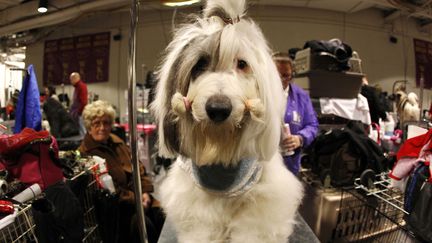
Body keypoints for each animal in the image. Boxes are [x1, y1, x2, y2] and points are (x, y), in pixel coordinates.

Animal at [152, 0, 304, 242]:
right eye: (200, 64)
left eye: (242, 63)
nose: (218, 109)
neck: (221, 147)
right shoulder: (195, 203)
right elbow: (201, 226)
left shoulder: (262, 200)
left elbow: (253, 228)